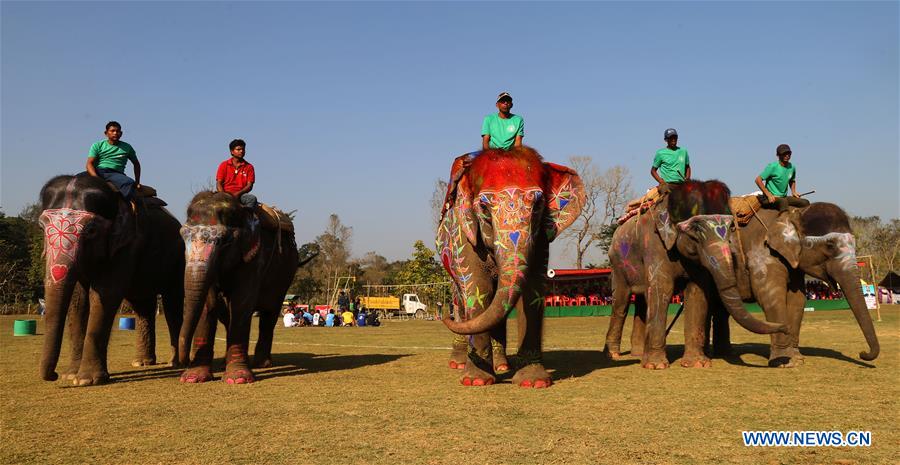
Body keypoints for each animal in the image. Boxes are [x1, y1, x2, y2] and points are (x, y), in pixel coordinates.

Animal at [37, 174, 185, 384]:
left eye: (91, 230)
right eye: (41, 227)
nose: (54, 375)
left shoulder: (128, 243)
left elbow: (106, 293)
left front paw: (86, 380)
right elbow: (78, 299)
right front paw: (70, 375)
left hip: (177, 260)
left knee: (172, 304)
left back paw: (176, 363)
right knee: (143, 306)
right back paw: (142, 362)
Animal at [178, 190, 300, 382]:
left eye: (225, 241)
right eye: (182, 236)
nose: (183, 361)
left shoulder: (255, 256)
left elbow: (242, 301)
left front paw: (238, 379)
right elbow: (209, 303)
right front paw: (192, 378)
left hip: (285, 275)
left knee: (270, 313)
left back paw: (262, 364)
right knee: (227, 316)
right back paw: (224, 364)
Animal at [438, 147, 592, 386]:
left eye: (538, 206)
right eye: (484, 208)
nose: (443, 315)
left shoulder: (541, 238)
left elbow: (533, 291)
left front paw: (534, 382)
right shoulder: (463, 236)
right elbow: (478, 287)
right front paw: (476, 381)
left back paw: (502, 366)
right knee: (461, 300)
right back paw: (459, 363)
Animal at [604, 179, 788, 368]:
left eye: (731, 228)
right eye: (696, 230)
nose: (785, 327)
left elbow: (697, 291)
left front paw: (697, 364)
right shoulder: (654, 243)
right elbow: (662, 289)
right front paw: (656, 366)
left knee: (641, 302)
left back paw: (638, 354)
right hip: (617, 263)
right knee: (621, 302)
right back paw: (614, 355)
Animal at [704, 201, 880, 364]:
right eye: (830, 245)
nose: (862, 353)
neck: (792, 212)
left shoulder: (794, 263)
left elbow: (797, 300)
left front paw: (797, 358)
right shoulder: (763, 252)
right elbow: (771, 297)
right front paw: (784, 362)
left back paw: (724, 354)